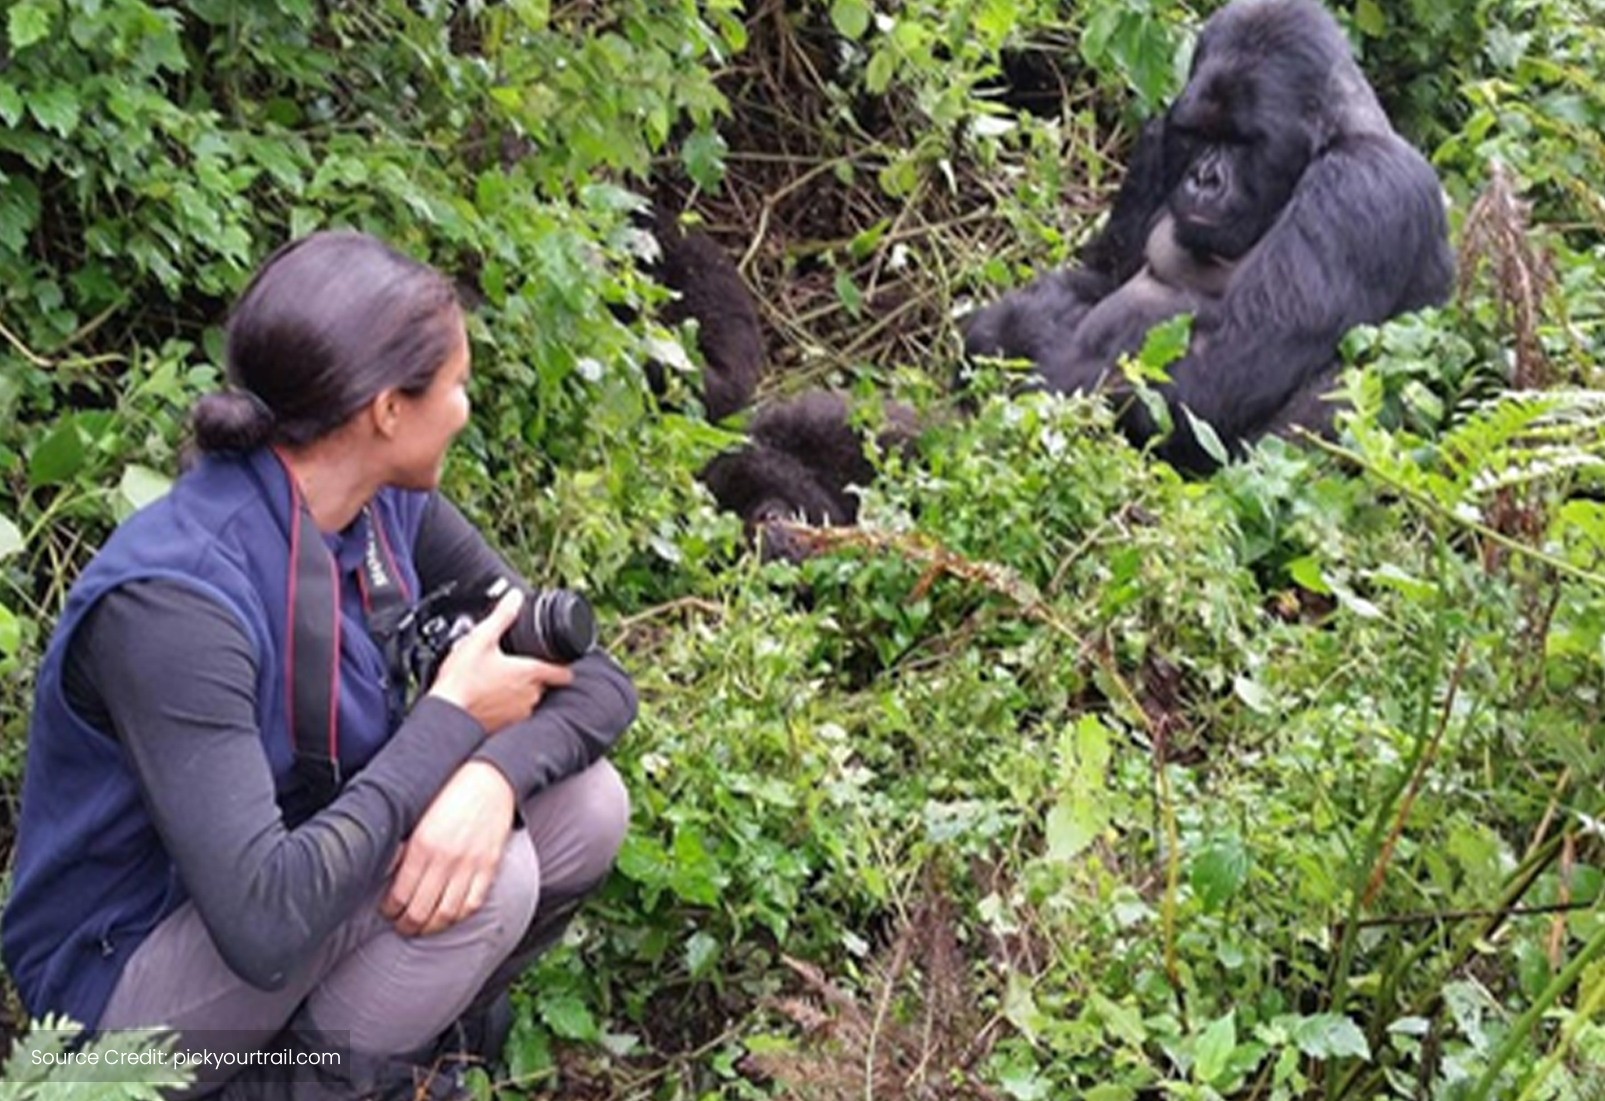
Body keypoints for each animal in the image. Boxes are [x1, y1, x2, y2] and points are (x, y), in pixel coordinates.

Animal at [956, 0, 1463, 468]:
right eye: (1198, 133)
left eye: (1242, 142)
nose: (1204, 179)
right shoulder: (1157, 140)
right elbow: (1102, 276)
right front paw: (1003, 327)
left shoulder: (1364, 186)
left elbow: (1218, 370)